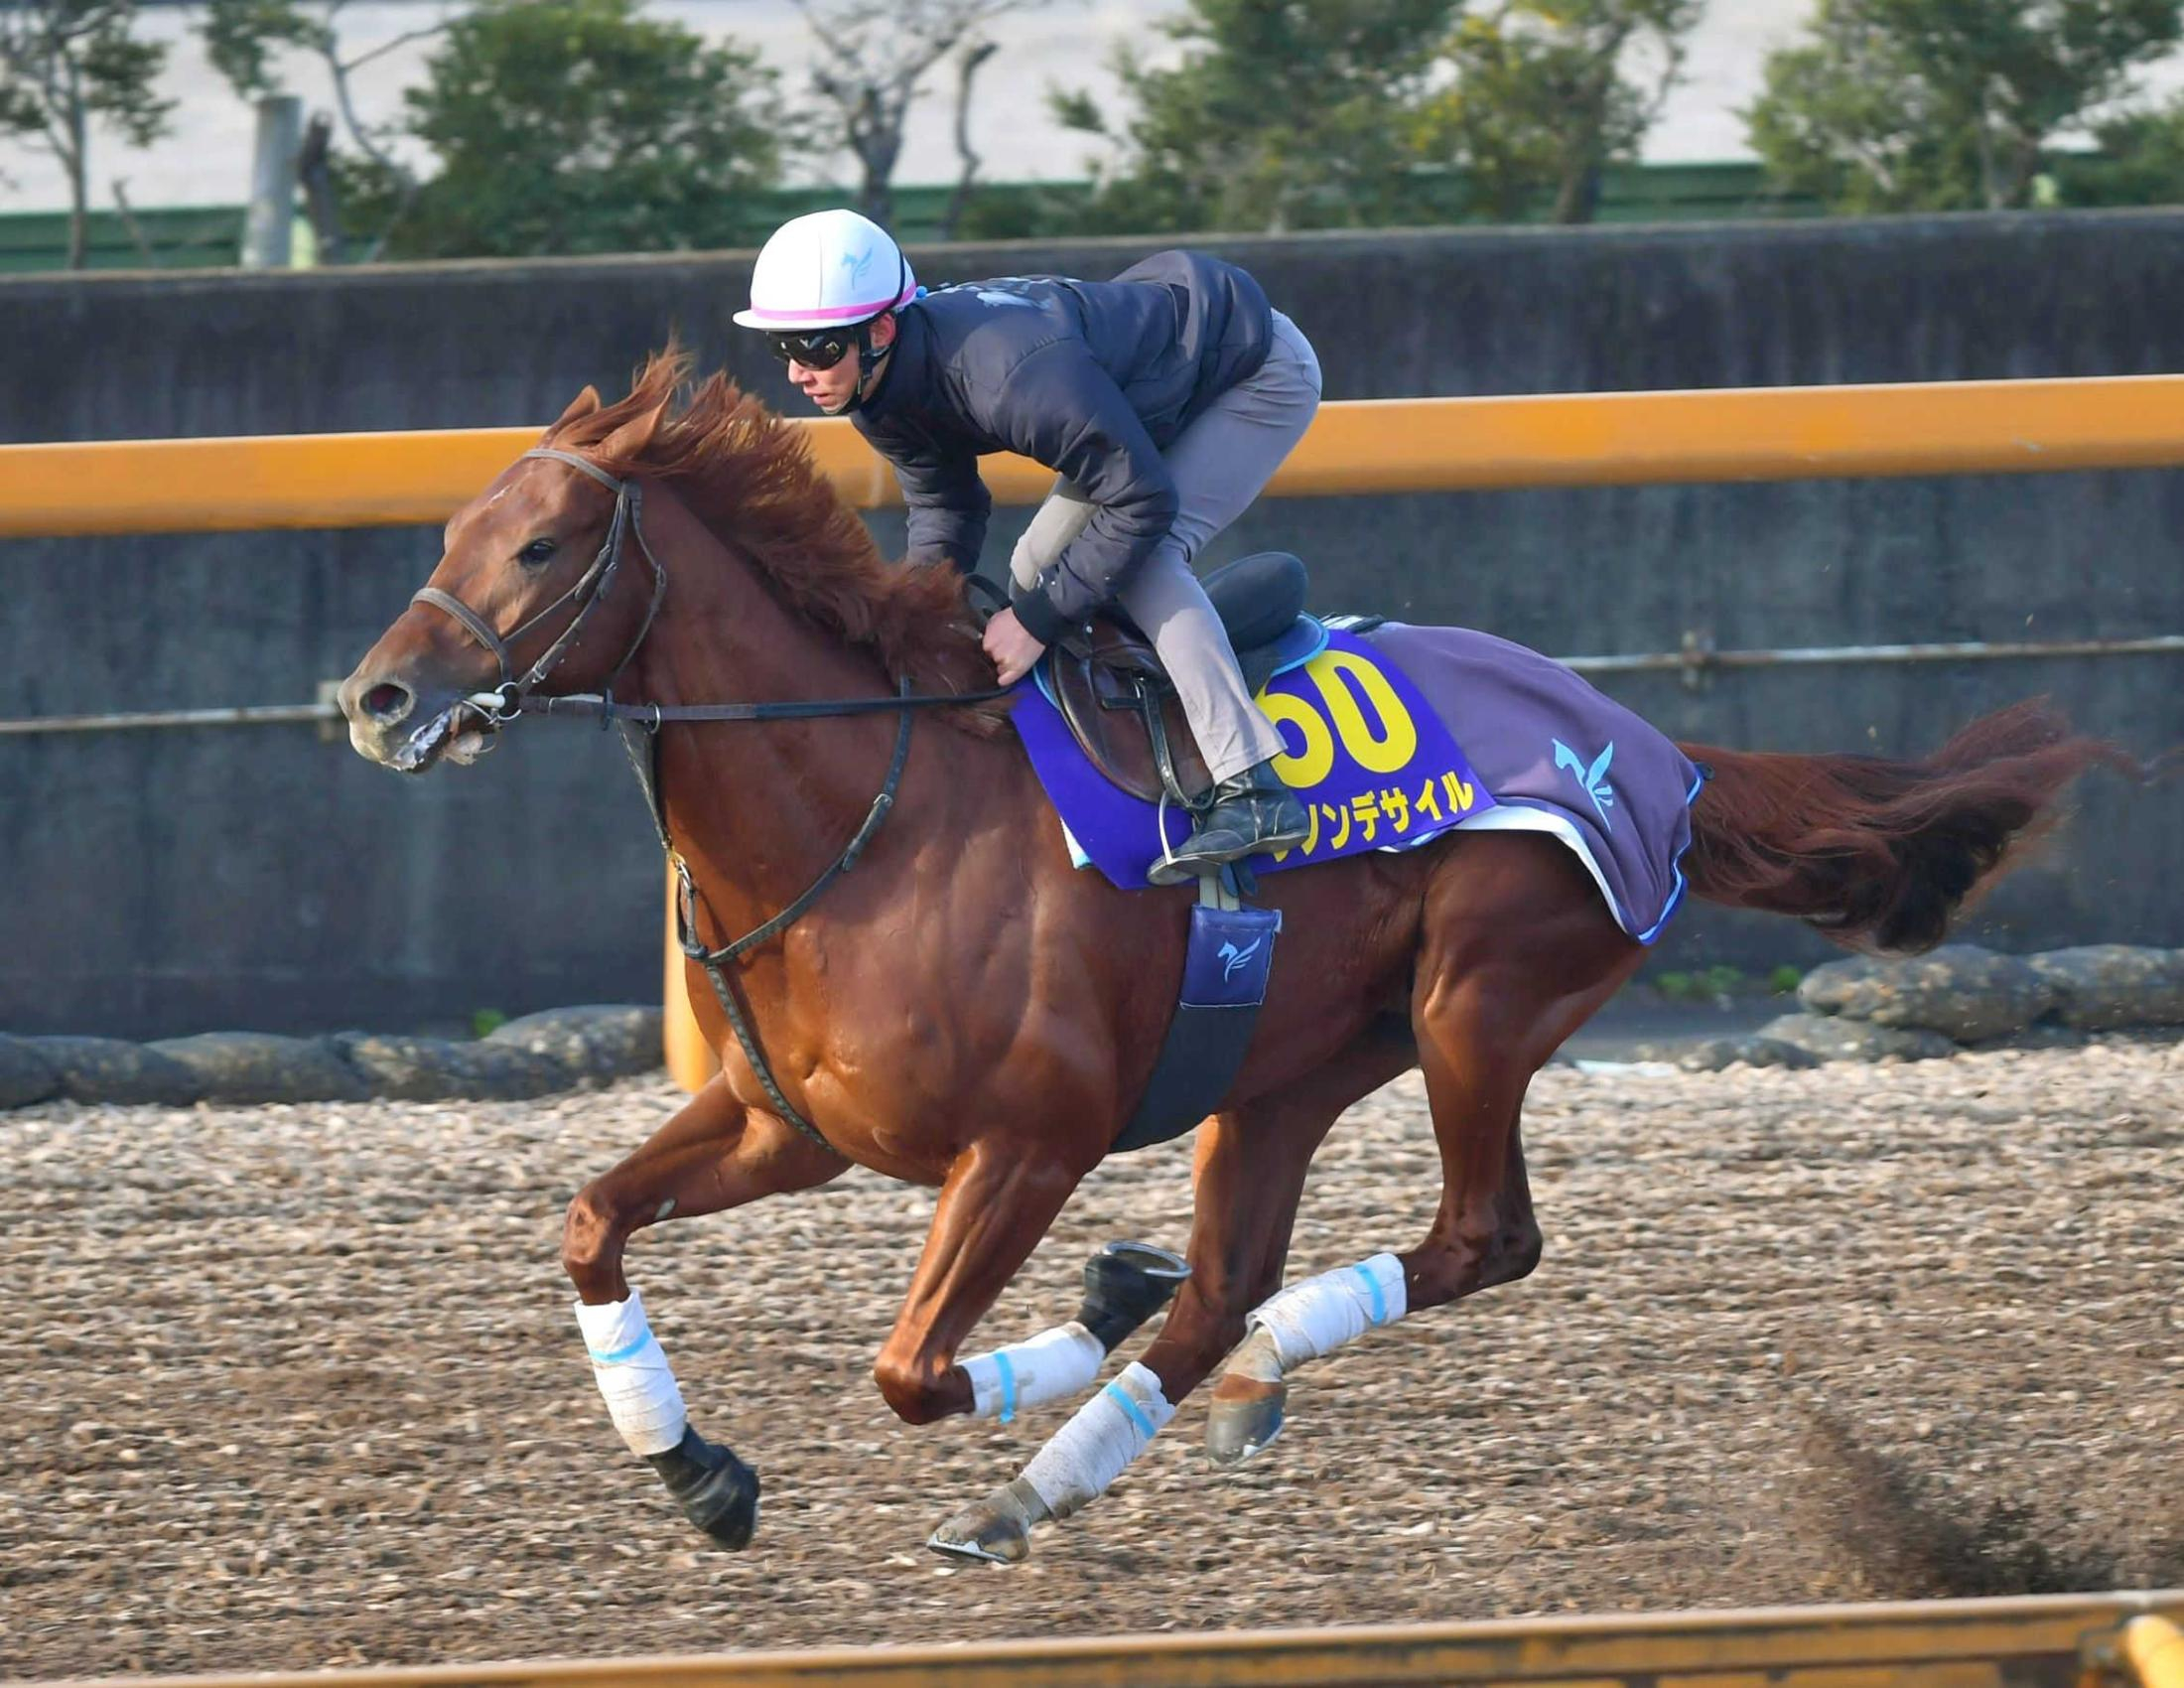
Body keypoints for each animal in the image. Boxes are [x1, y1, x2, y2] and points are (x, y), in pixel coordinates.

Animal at [336, 355, 2114, 1563]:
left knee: (1475, 1241)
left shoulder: (1031, 1141)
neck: (865, 814)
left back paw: (1219, 1391)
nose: (377, 698)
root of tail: (1655, 752)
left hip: (1478, 1004)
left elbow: (910, 1369)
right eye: (460, 522)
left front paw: (1059, 1321)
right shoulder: (794, 1127)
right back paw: (1080, 1457)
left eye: (545, 547)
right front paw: (700, 1473)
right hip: (1284, 1069)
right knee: (1224, 1287)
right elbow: (589, 1222)